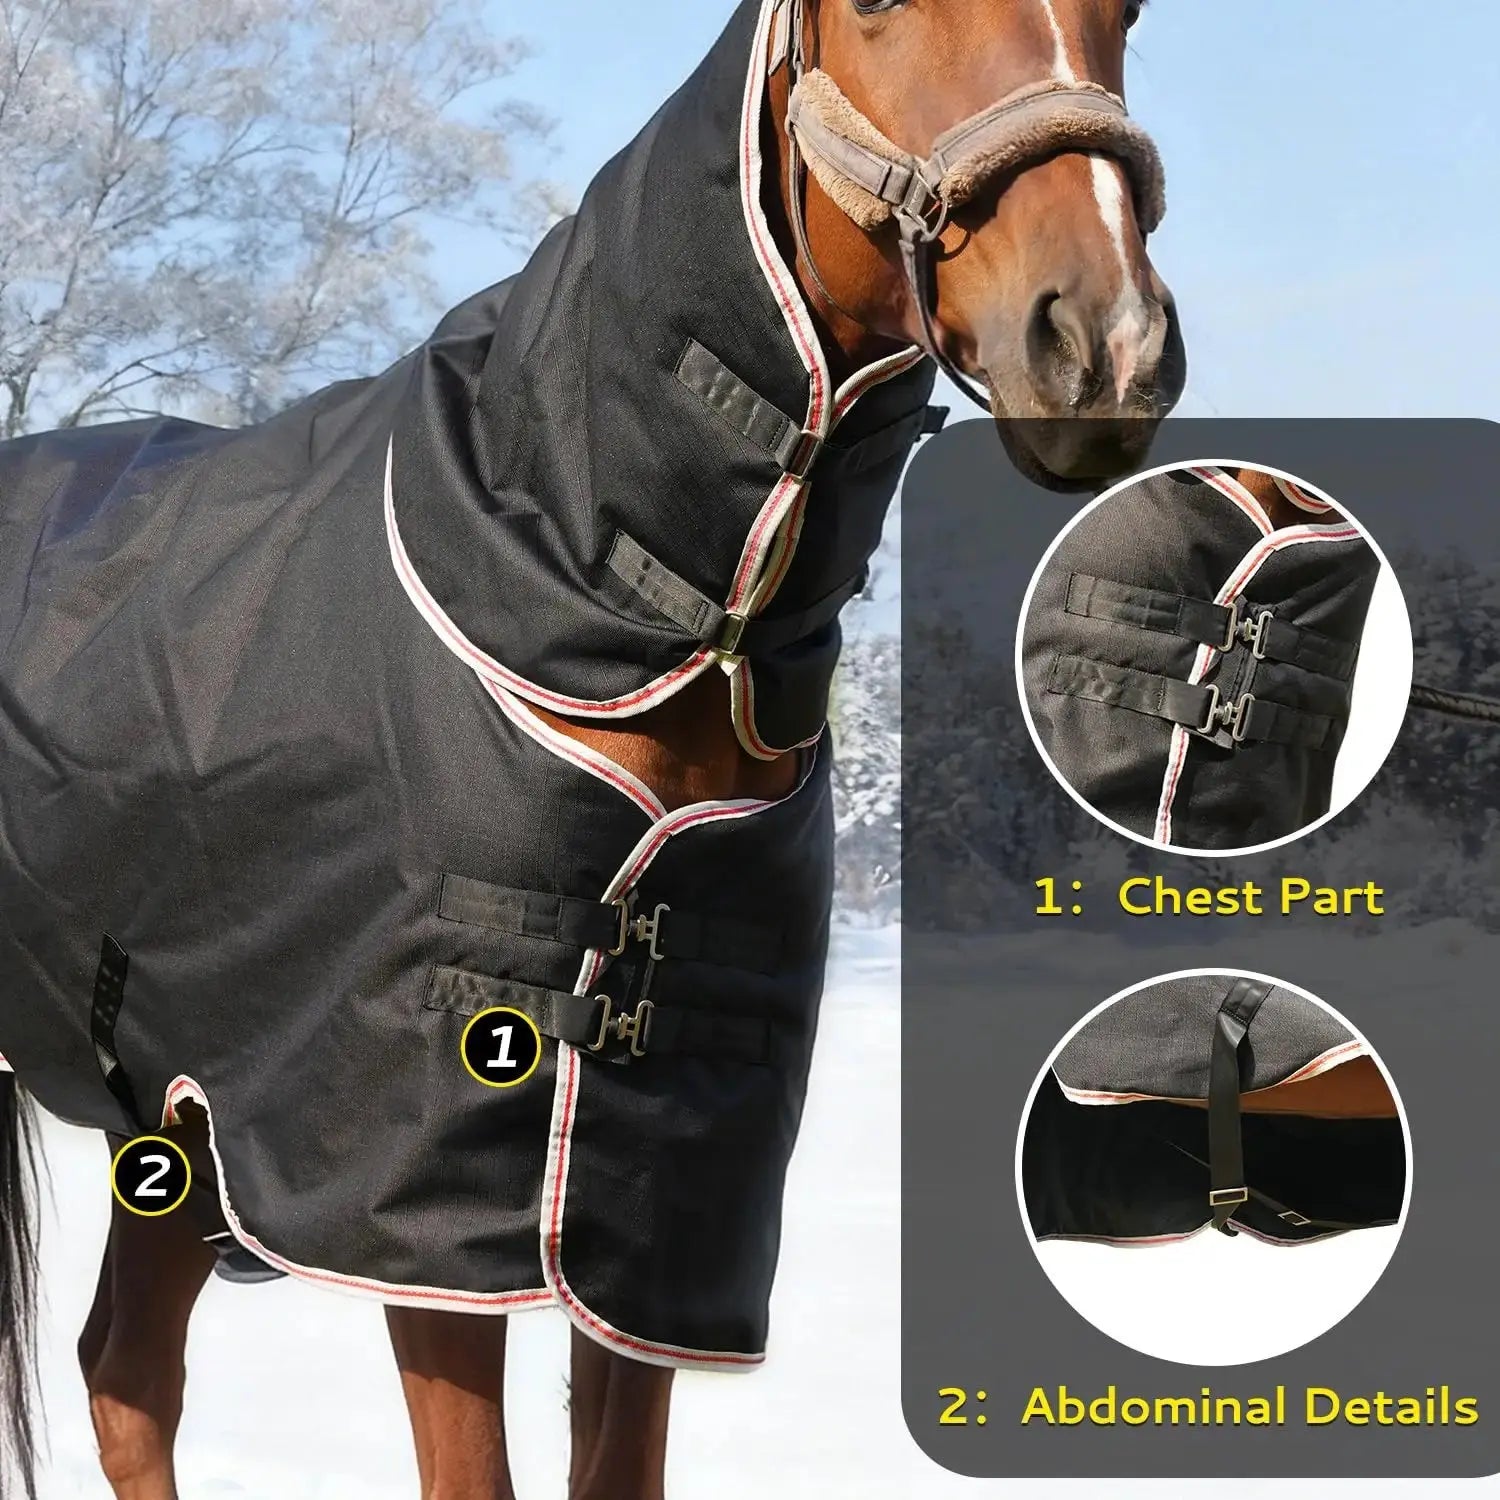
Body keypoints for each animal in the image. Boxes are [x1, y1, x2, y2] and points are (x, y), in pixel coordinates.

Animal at [0, 2, 1182, 1496]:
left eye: (1125, 19)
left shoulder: (658, 1197)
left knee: (126, 1373)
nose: (1105, 345)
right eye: (873, 12)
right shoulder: (428, 1200)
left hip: (170, 1122)